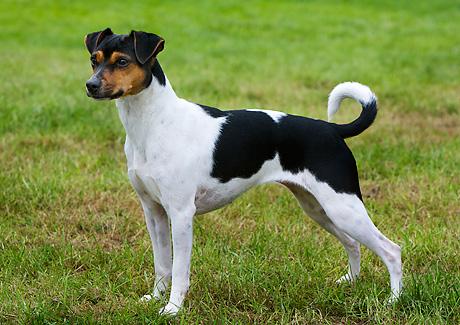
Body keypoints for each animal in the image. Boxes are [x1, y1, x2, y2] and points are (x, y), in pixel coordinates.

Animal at [84, 28, 400, 314]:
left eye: (122, 61)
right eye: (93, 60)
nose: (90, 85)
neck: (153, 124)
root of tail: (333, 130)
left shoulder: (181, 214)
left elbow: (179, 270)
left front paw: (172, 309)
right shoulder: (154, 212)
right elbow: (162, 264)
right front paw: (155, 298)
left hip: (343, 207)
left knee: (391, 250)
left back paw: (392, 301)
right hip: (320, 209)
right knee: (353, 244)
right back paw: (350, 282)